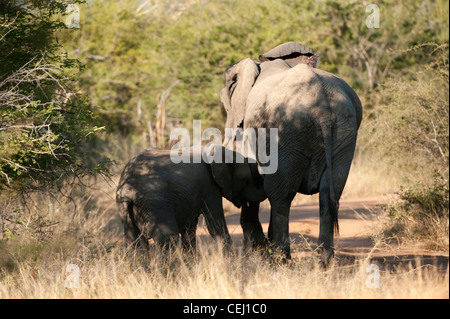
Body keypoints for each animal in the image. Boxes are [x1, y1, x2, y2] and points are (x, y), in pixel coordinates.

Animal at [116, 146, 266, 254]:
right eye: (246, 180)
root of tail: (128, 190)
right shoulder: (209, 187)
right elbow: (216, 227)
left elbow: (189, 230)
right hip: (155, 202)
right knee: (168, 239)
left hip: (125, 207)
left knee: (134, 243)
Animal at [220, 42, 364, 264]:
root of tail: (323, 109)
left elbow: (251, 178)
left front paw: (256, 253)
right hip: (343, 131)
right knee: (329, 193)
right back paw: (324, 262)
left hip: (286, 132)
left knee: (280, 196)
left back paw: (281, 261)